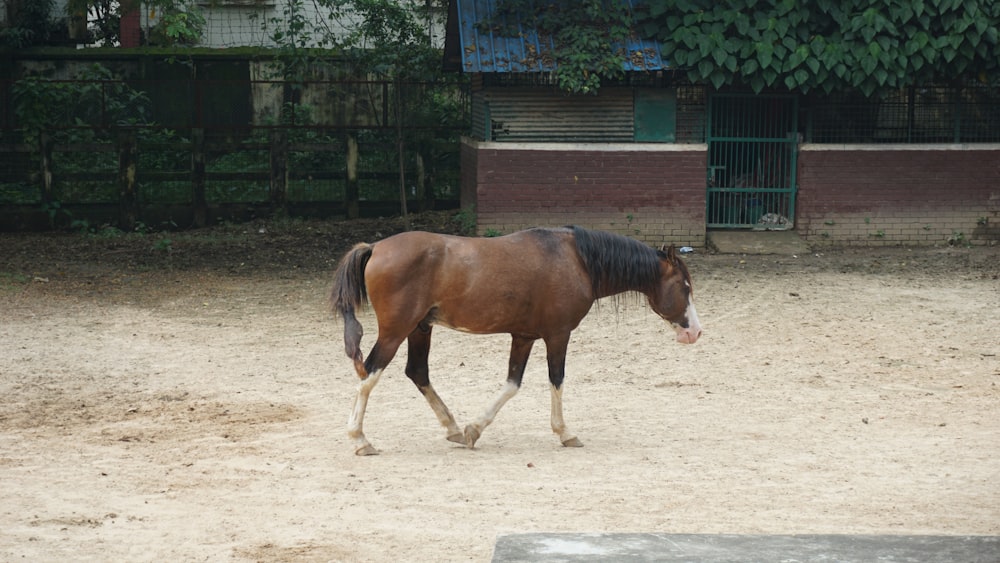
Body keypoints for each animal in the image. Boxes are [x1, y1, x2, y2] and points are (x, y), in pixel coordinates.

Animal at [332, 225, 700, 454]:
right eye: (684, 286)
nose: (694, 331)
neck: (577, 260)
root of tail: (375, 247)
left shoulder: (524, 336)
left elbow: (512, 384)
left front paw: (473, 429)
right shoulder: (557, 335)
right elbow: (556, 380)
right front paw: (565, 433)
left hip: (420, 329)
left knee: (417, 373)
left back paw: (452, 428)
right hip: (396, 332)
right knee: (369, 373)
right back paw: (360, 439)